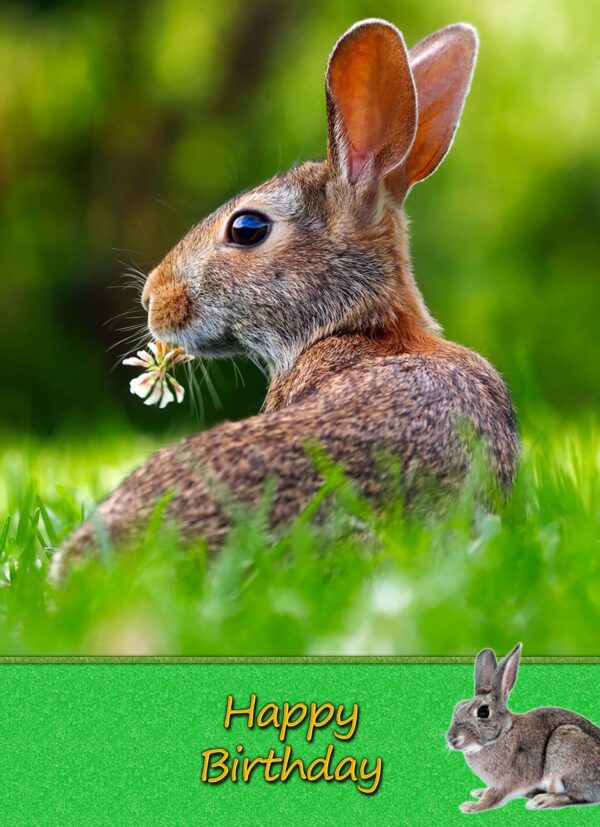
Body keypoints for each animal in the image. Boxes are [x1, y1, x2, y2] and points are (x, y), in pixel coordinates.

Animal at [447, 643, 600, 812]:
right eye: (457, 707)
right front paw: (479, 792)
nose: (452, 739)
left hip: (566, 746)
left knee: (577, 797)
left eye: (483, 711)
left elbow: (493, 796)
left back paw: (543, 800)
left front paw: (472, 806)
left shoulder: (506, 781)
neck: (503, 734)